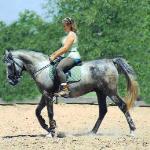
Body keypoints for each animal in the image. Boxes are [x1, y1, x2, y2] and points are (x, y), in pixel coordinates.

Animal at [3, 49, 139, 138]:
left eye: (9, 65)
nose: (11, 81)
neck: (42, 68)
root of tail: (111, 61)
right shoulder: (45, 94)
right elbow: (37, 112)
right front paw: (47, 127)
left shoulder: (48, 94)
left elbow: (50, 113)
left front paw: (52, 132)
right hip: (100, 92)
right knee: (103, 111)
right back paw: (92, 132)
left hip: (110, 92)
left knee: (122, 106)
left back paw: (132, 131)